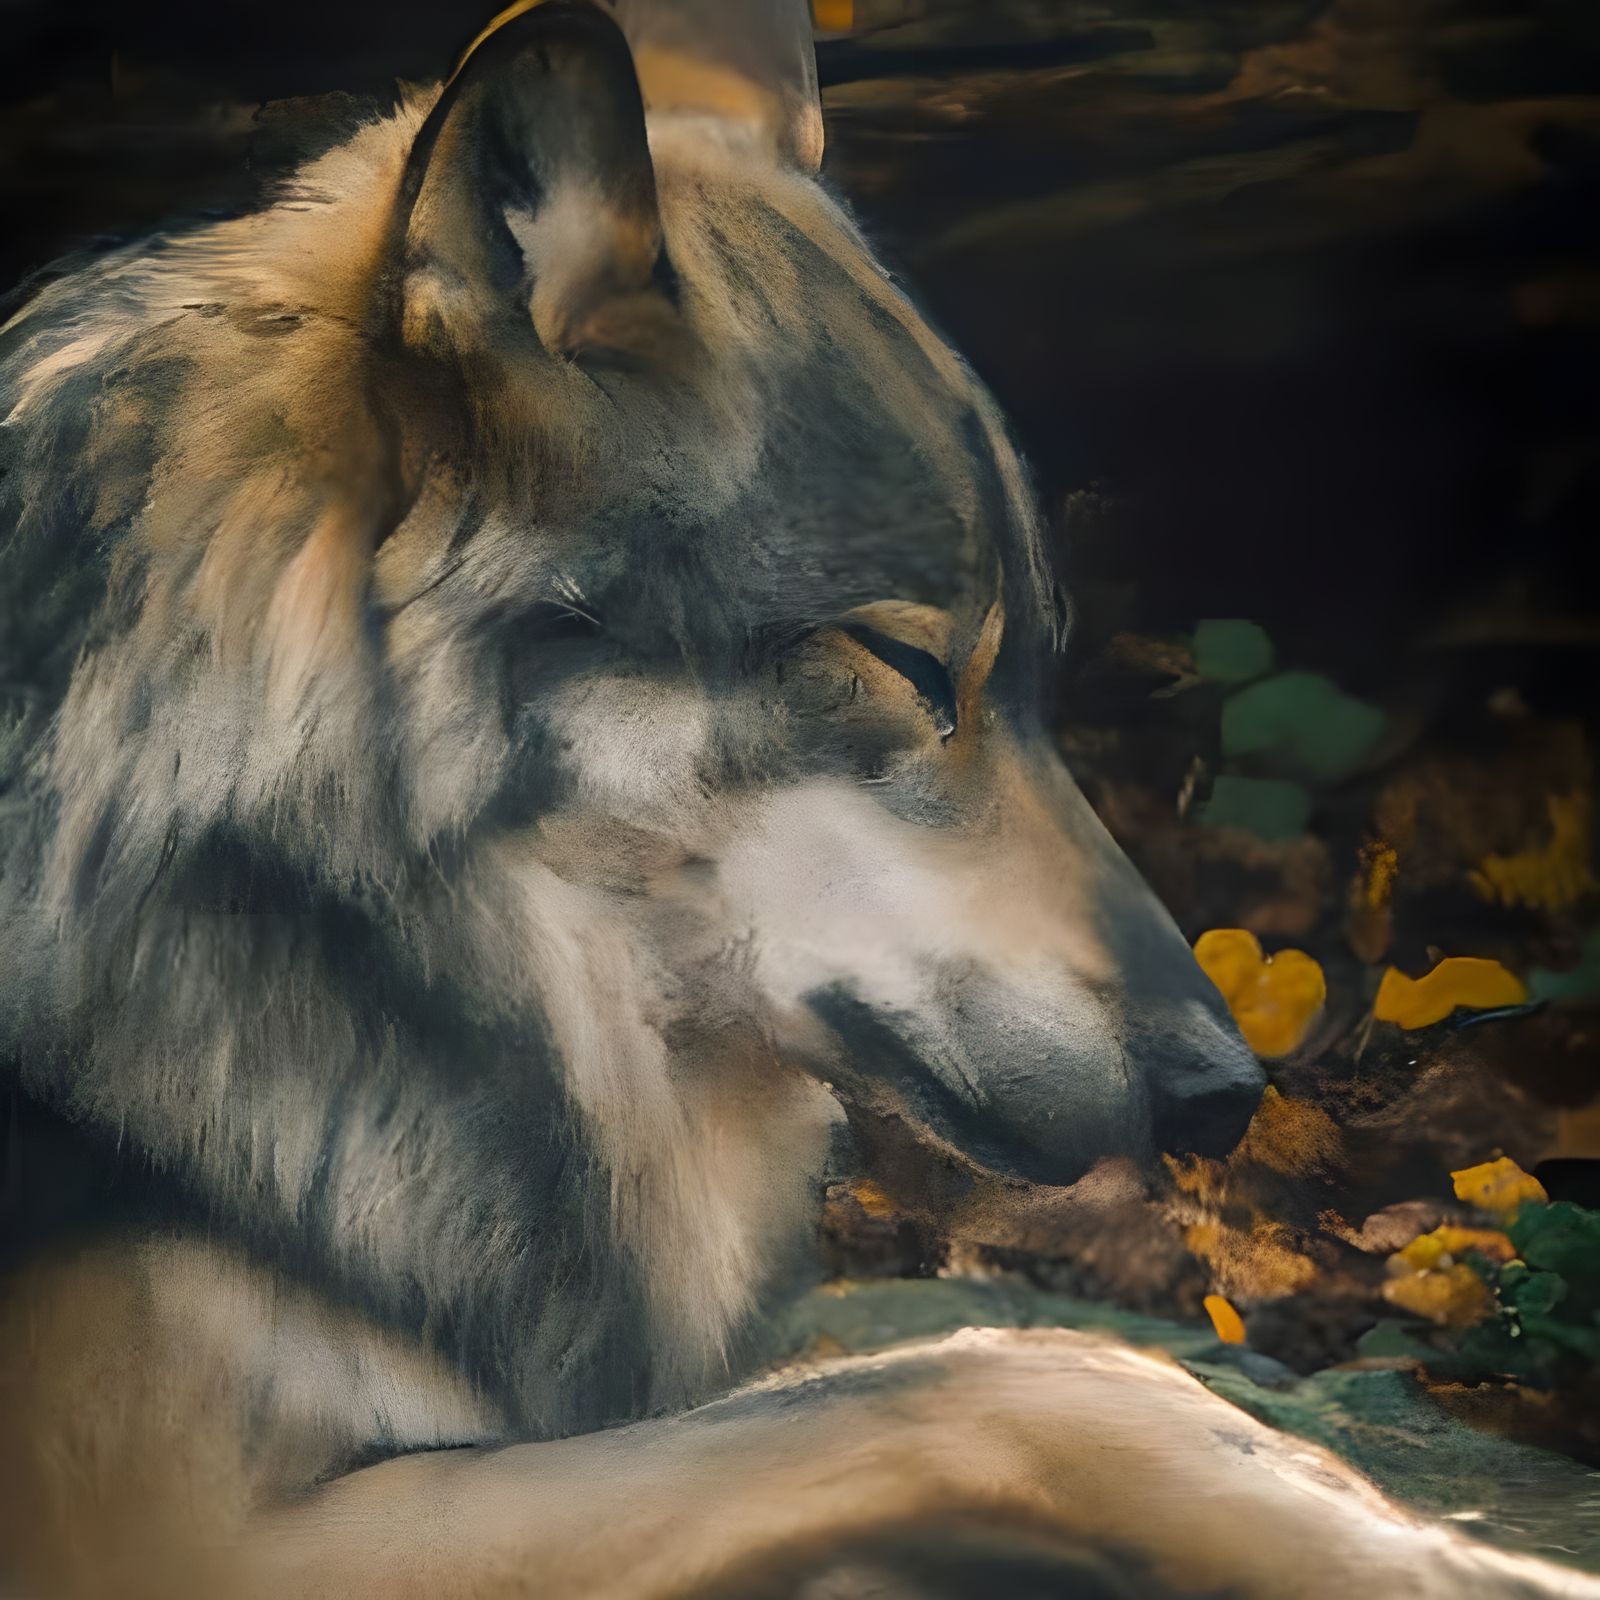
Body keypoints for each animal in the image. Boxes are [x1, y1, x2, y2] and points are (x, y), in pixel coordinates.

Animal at [1, 4, 1588, 1598]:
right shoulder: (193, 1538)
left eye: (1040, 675)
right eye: (906, 663)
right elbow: (1025, 1378)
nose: (1227, 1094)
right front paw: (1438, 1557)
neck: (280, 898)